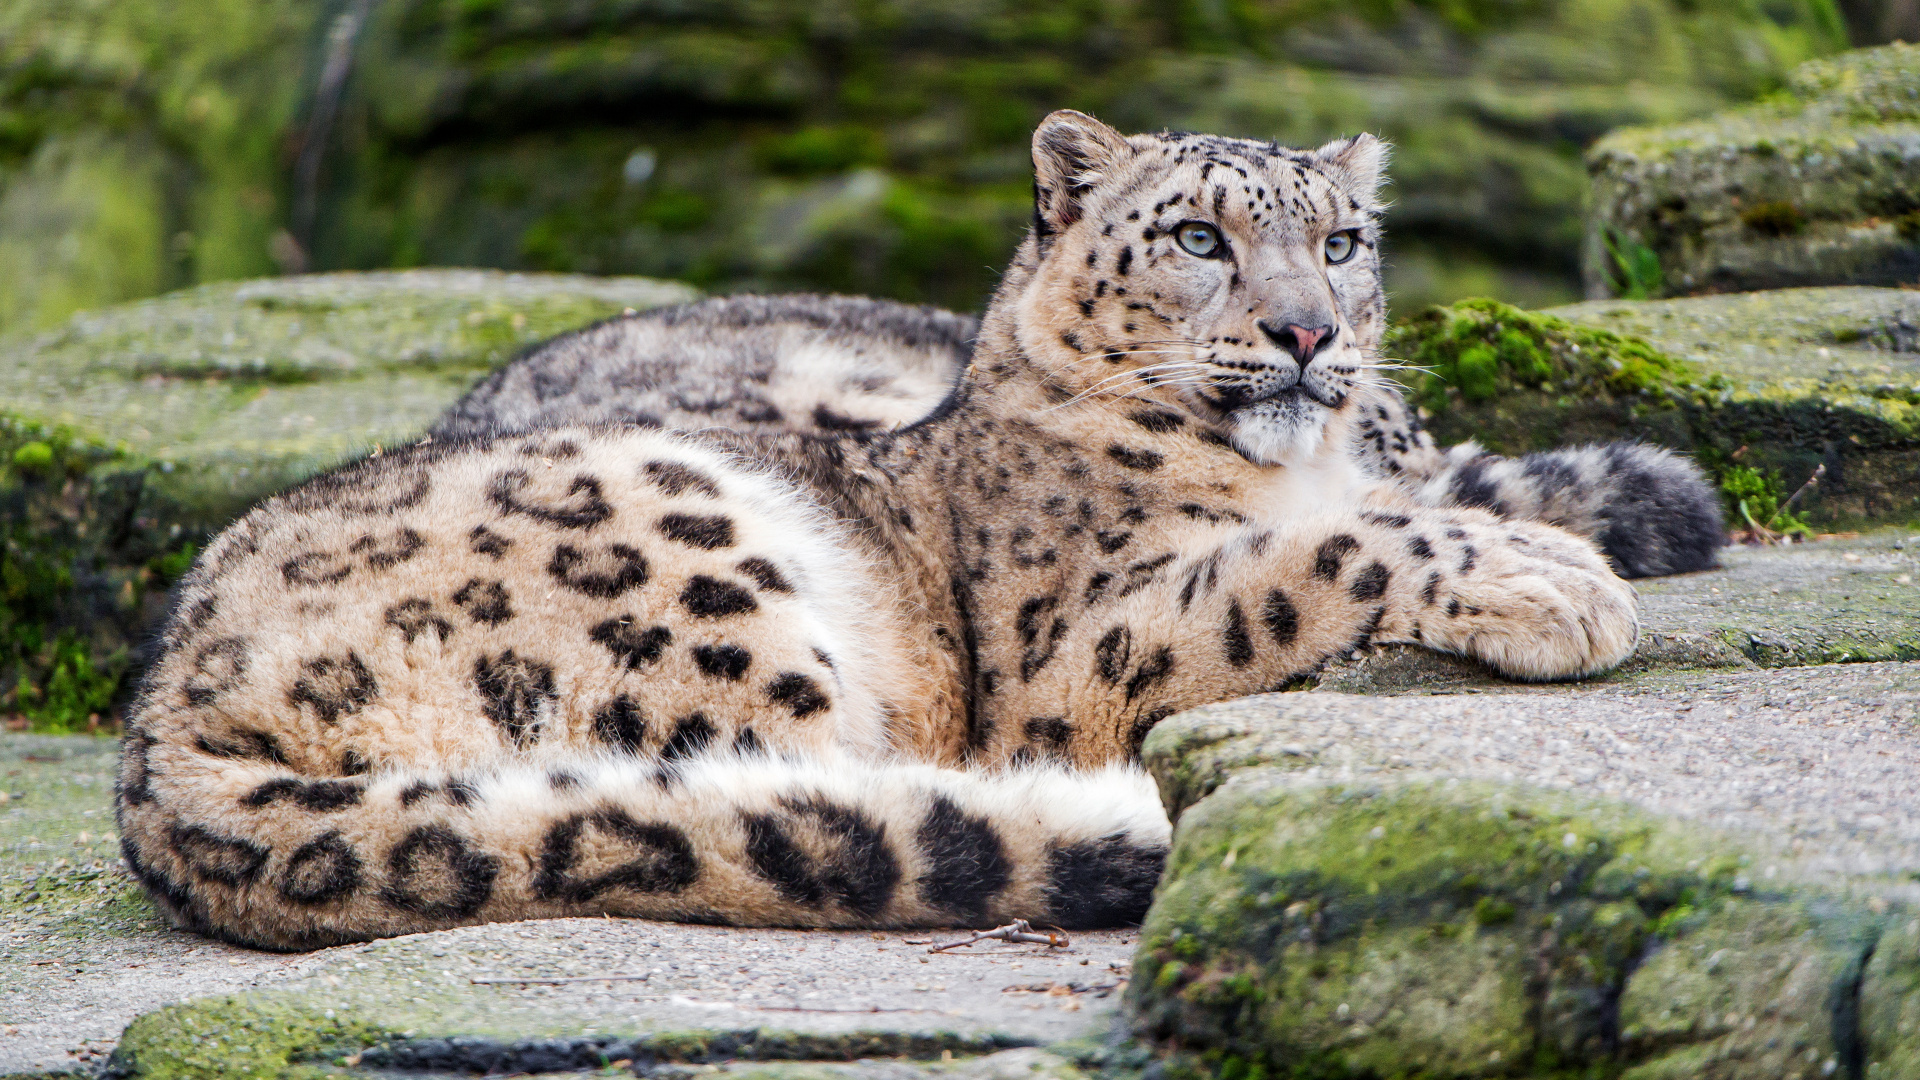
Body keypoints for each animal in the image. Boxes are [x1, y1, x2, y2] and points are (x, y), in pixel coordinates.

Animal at [118, 110, 1646, 951]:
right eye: (1199, 239)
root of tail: (159, 724)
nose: (1309, 334)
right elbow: (1311, 561)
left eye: (1342, 243)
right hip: (693, 566)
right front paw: (1559, 581)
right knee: (800, 793)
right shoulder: (1076, 655)